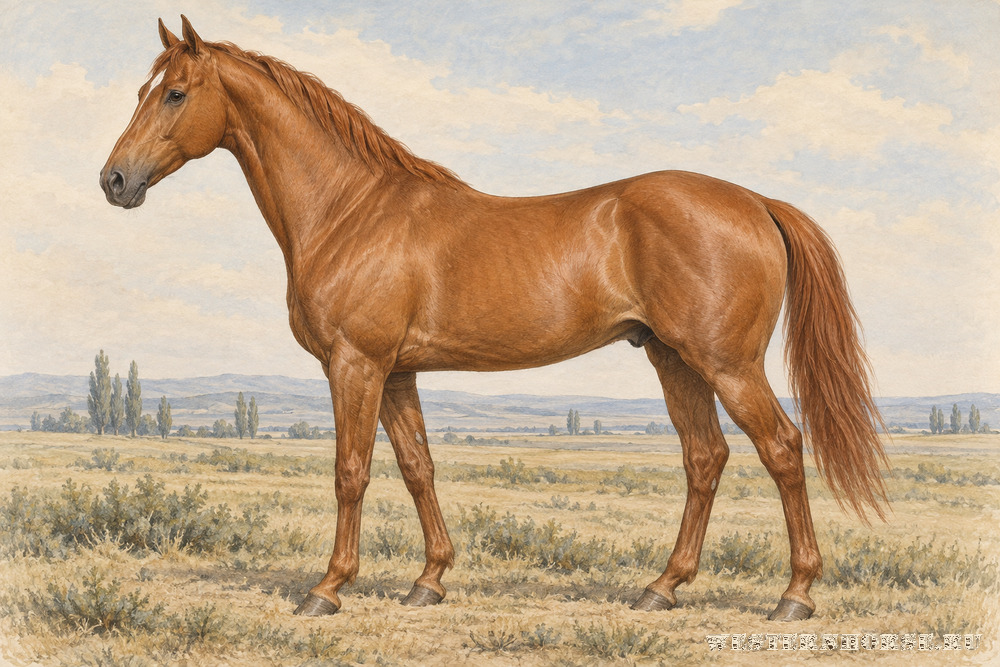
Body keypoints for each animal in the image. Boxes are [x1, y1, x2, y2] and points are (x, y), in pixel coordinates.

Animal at [101, 16, 890, 621]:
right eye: (144, 90)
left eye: (175, 93)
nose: (114, 180)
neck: (351, 210)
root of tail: (756, 201)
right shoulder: (398, 372)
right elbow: (417, 467)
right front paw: (429, 580)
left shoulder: (356, 364)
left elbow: (351, 471)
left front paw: (327, 588)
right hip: (674, 359)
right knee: (706, 458)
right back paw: (662, 587)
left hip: (727, 363)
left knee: (782, 448)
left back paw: (794, 595)